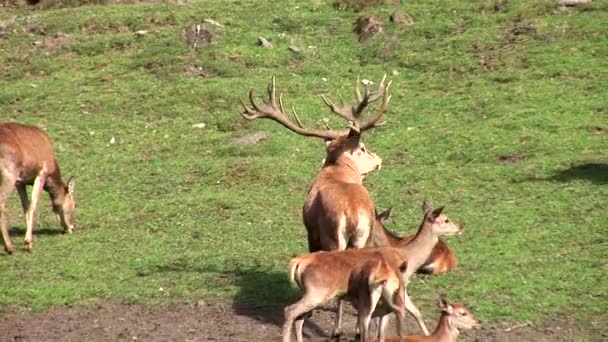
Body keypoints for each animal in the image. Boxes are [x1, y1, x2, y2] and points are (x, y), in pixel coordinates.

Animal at [0, 121, 76, 252]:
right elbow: (33, 205)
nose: (72, 227)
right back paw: (10, 247)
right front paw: (28, 243)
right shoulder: (41, 173)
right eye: (74, 204)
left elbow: (25, 206)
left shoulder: (20, 182)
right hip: (8, 176)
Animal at [240, 76, 392, 336]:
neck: (337, 170)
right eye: (363, 148)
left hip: (334, 237)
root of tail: (353, 212)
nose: (378, 159)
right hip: (358, 236)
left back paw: (336, 328)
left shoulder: (310, 231)